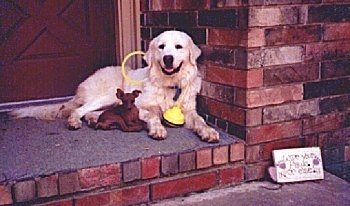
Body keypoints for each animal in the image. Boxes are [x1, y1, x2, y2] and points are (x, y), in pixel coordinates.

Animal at [11, 30, 219, 142]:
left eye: (178, 47)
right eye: (161, 47)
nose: (168, 58)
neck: (170, 85)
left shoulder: (189, 111)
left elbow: (200, 120)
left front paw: (208, 132)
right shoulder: (140, 106)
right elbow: (153, 115)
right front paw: (158, 129)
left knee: (92, 112)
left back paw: (93, 120)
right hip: (111, 95)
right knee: (79, 110)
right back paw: (74, 121)